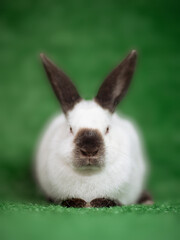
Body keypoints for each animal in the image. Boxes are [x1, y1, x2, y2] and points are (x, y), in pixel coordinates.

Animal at [34, 49, 153, 207]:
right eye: (70, 129)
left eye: (107, 129)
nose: (89, 150)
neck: (89, 174)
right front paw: (76, 202)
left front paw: (101, 202)